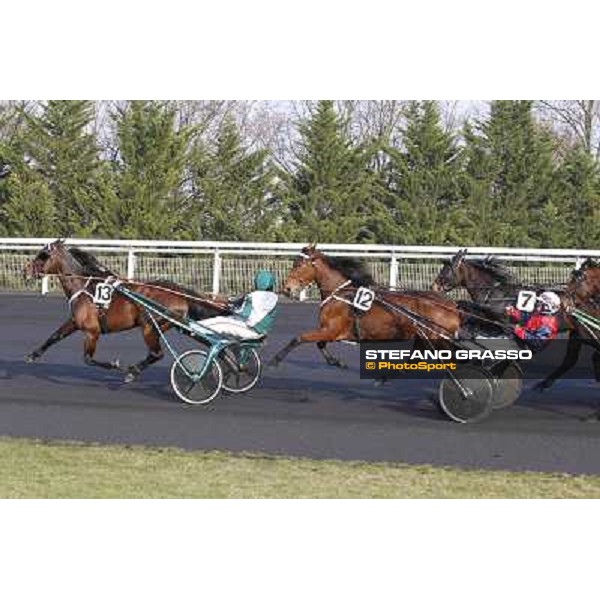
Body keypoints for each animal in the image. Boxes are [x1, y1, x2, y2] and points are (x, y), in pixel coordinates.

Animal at [24, 238, 229, 380]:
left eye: (43, 255)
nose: (26, 270)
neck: (83, 286)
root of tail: (178, 292)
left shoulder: (92, 331)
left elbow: (88, 358)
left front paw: (114, 365)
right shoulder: (75, 322)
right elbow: (54, 336)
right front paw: (32, 355)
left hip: (149, 327)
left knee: (157, 354)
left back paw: (133, 371)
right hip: (176, 325)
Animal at [270, 243, 462, 366]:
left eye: (298, 264)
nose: (286, 288)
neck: (341, 294)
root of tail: (451, 305)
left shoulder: (331, 330)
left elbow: (299, 338)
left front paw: (275, 360)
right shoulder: (329, 332)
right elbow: (320, 344)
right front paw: (336, 361)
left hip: (436, 338)